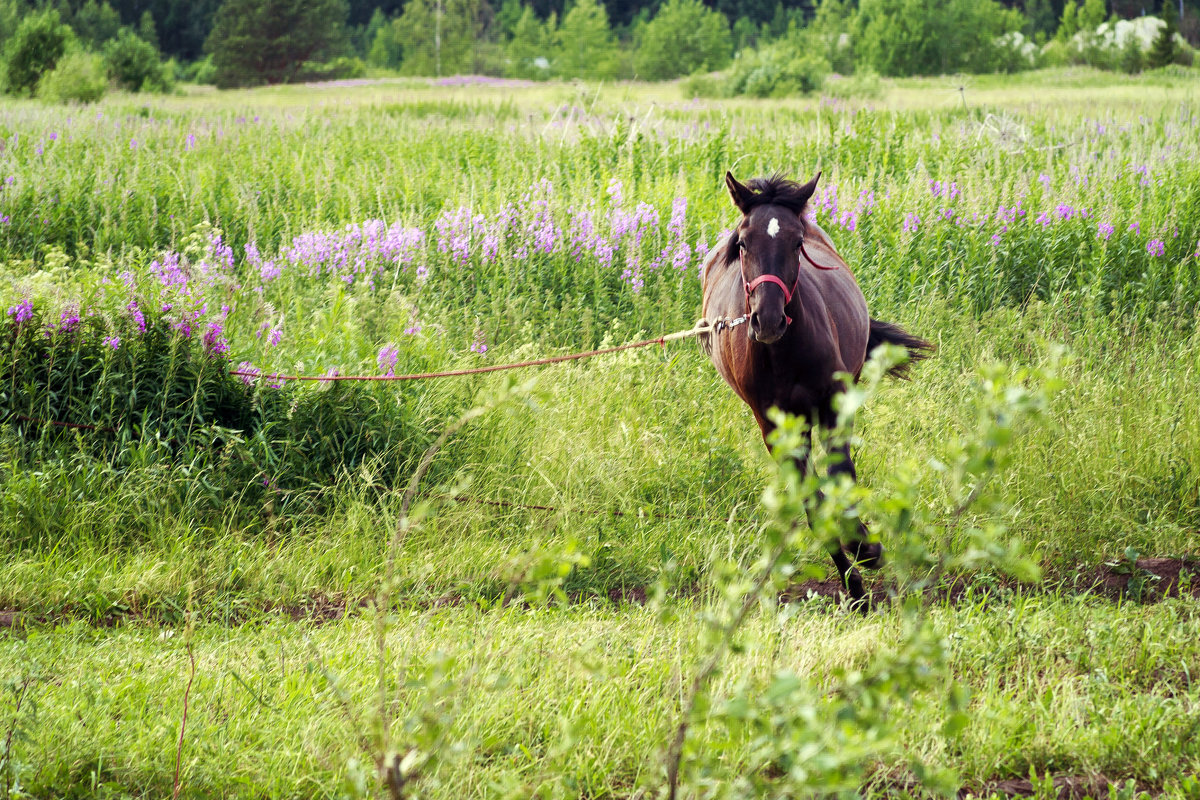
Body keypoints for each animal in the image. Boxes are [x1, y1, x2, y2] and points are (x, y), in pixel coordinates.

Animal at [700, 172, 931, 609]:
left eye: (796, 242)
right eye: (743, 243)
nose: (767, 320)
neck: (782, 353)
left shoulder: (833, 406)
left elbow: (842, 474)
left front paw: (866, 547)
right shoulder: (774, 428)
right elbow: (812, 502)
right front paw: (855, 585)